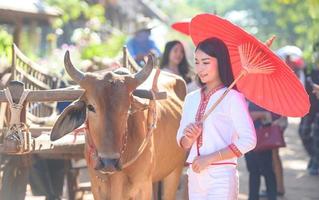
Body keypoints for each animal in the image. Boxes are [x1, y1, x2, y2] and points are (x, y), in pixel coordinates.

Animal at [50, 52, 188, 200]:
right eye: (91, 107)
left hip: (175, 170)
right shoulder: (97, 189)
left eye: (127, 109)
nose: (108, 162)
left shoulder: (143, 187)